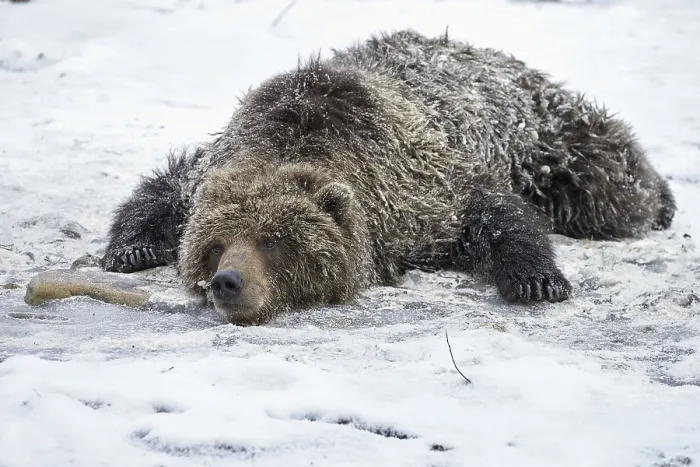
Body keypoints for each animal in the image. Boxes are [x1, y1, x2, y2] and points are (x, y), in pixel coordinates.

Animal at [100, 30, 675, 325]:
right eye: (215, 246)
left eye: (274, 240)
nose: (229, 282)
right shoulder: (214, 165)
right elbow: (162, 191)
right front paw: (130, 249)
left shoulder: (418, 188)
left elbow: (494, 212)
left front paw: (536, 279)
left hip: (547, 137)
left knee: (610, 188)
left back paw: (663, 199)